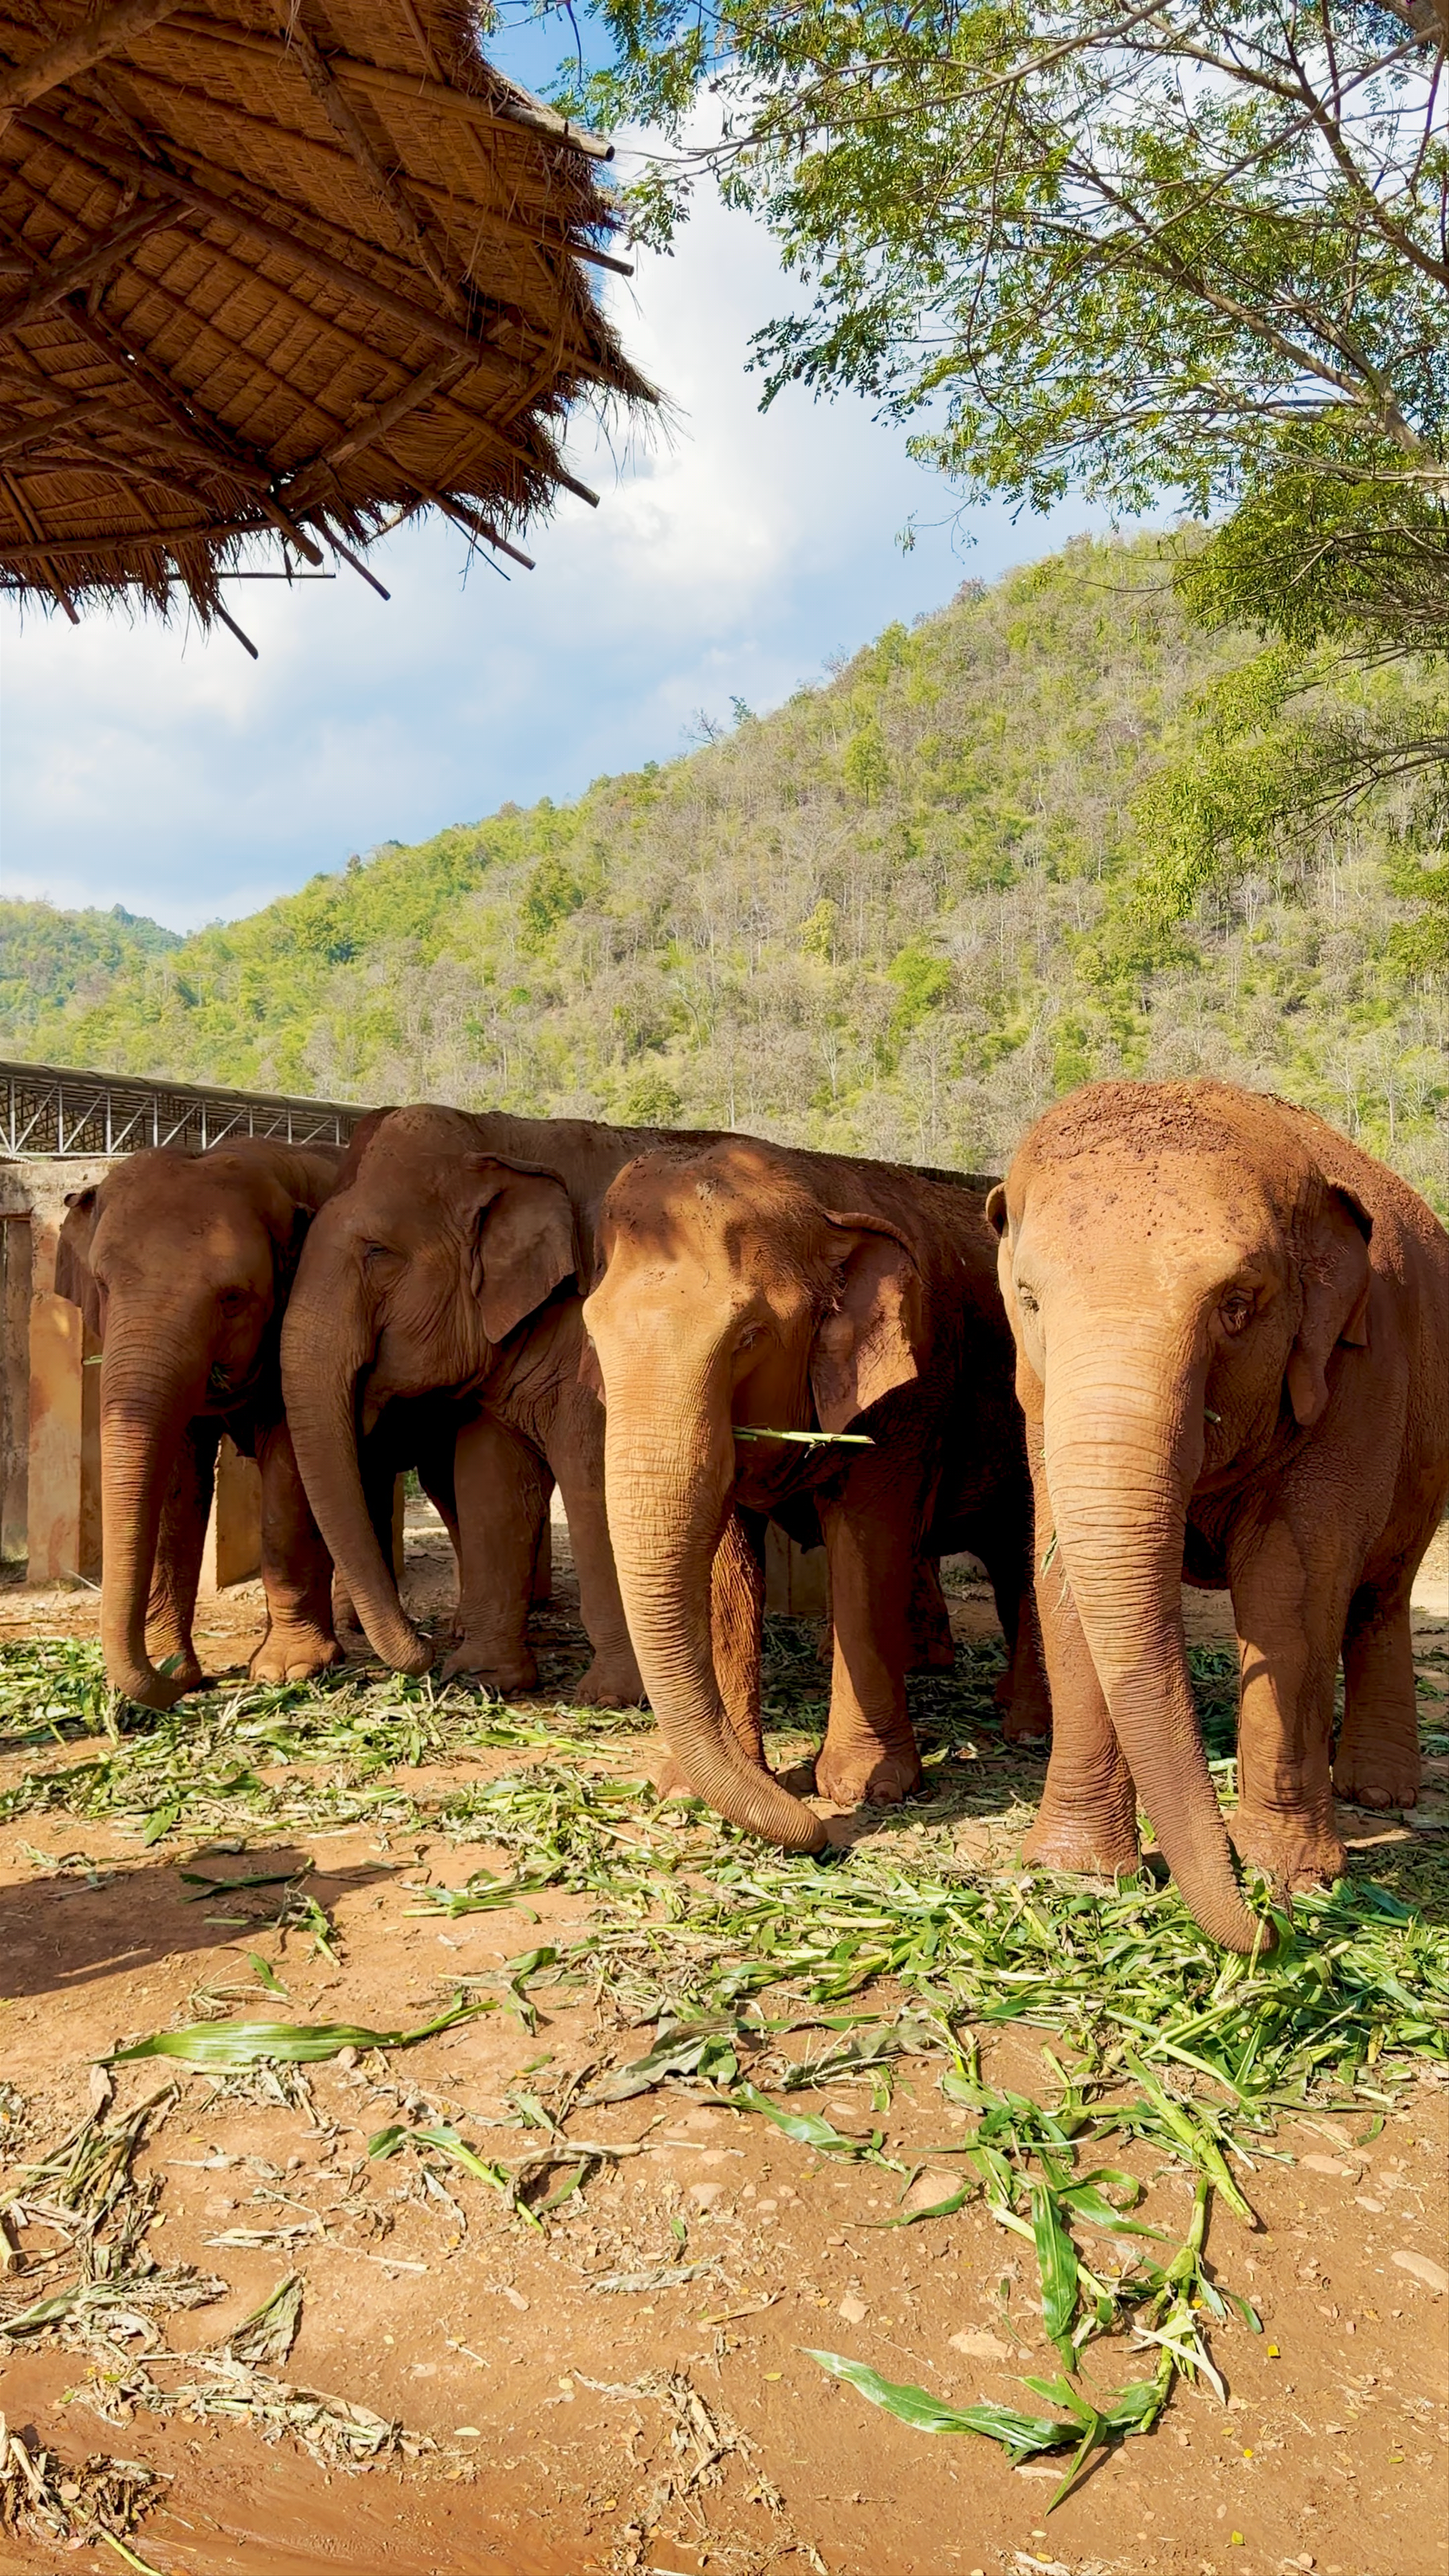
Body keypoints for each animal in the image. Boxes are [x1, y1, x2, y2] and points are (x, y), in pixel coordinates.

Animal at [56, 1138, 347, 1709]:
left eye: (233, 1299)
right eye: (102, 1284)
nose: (177, 1685)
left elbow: (290, 1469)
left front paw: (288, 1671)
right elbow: (175, 1479)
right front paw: (175, 1665)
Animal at [280, 1102, 684, 1705]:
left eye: (378, 1253)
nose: (422, 1650)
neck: (503, 1134)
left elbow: (598, 1479)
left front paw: (613, 1697)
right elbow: (491, 1483)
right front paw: (483, 1678)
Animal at [580, 1134, 1049, 1850]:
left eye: (748, 1337)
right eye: (593, 1332)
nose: (823, 1839)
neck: (815, 1194)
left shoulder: (913, 1386)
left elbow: (866, 1549)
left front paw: (867, 1789)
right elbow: (727, 1571)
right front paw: (698, 1788)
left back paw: (1025, 1729)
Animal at [988, 1078, 1449, 1952]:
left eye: (1238, 1305)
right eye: (1028, 1298)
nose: (1264, 1928)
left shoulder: (1358, 1373)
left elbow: (1291, 1586)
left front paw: (1290, 1880)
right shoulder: (1038, 1397)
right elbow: (1060, 1571)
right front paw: (1077, 1874)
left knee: (1379, 1595)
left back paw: (1380, 1797)